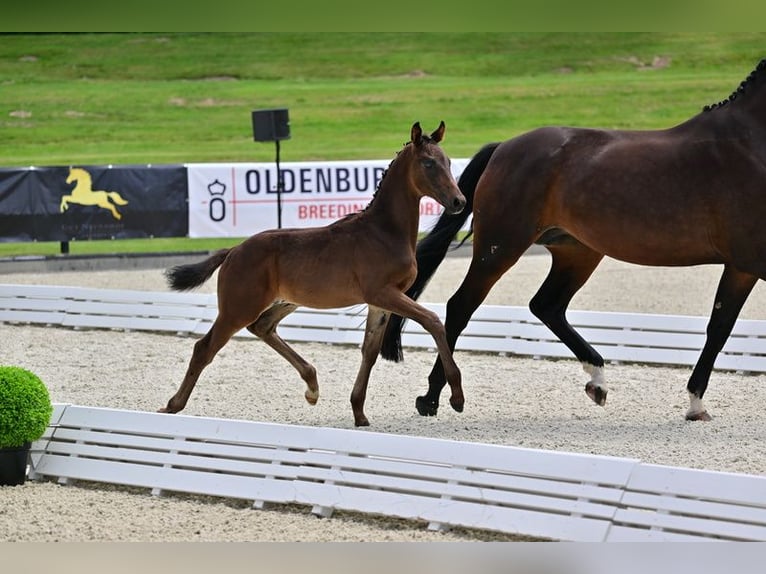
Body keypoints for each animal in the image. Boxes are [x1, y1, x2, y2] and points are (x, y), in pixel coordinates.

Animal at [159, 122, 464, 428]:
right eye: (428, 163)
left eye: (449, 162)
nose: (458, 201)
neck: (384, 231)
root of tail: (233, 251)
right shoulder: (383, 293)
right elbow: (433, 321)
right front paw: (456, 396)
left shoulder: (380, 303)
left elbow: (369, 351)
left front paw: (359, 413)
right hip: (238, 308)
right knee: (205, 347)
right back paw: (172, 405)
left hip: (285, 301)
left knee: (262, 327)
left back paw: (312, 387)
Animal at [384, 58, 766, 424]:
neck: (751, 142)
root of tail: (504, 147)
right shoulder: (749, 262)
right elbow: (720, 328)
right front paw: (695, 403)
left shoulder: (742, 267)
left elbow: (719, 328)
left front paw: (695, 404)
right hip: (500, 248)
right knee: (461, 306)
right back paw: (432, 398)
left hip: (576, 252)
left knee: (546, 305)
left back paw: (597, 380)